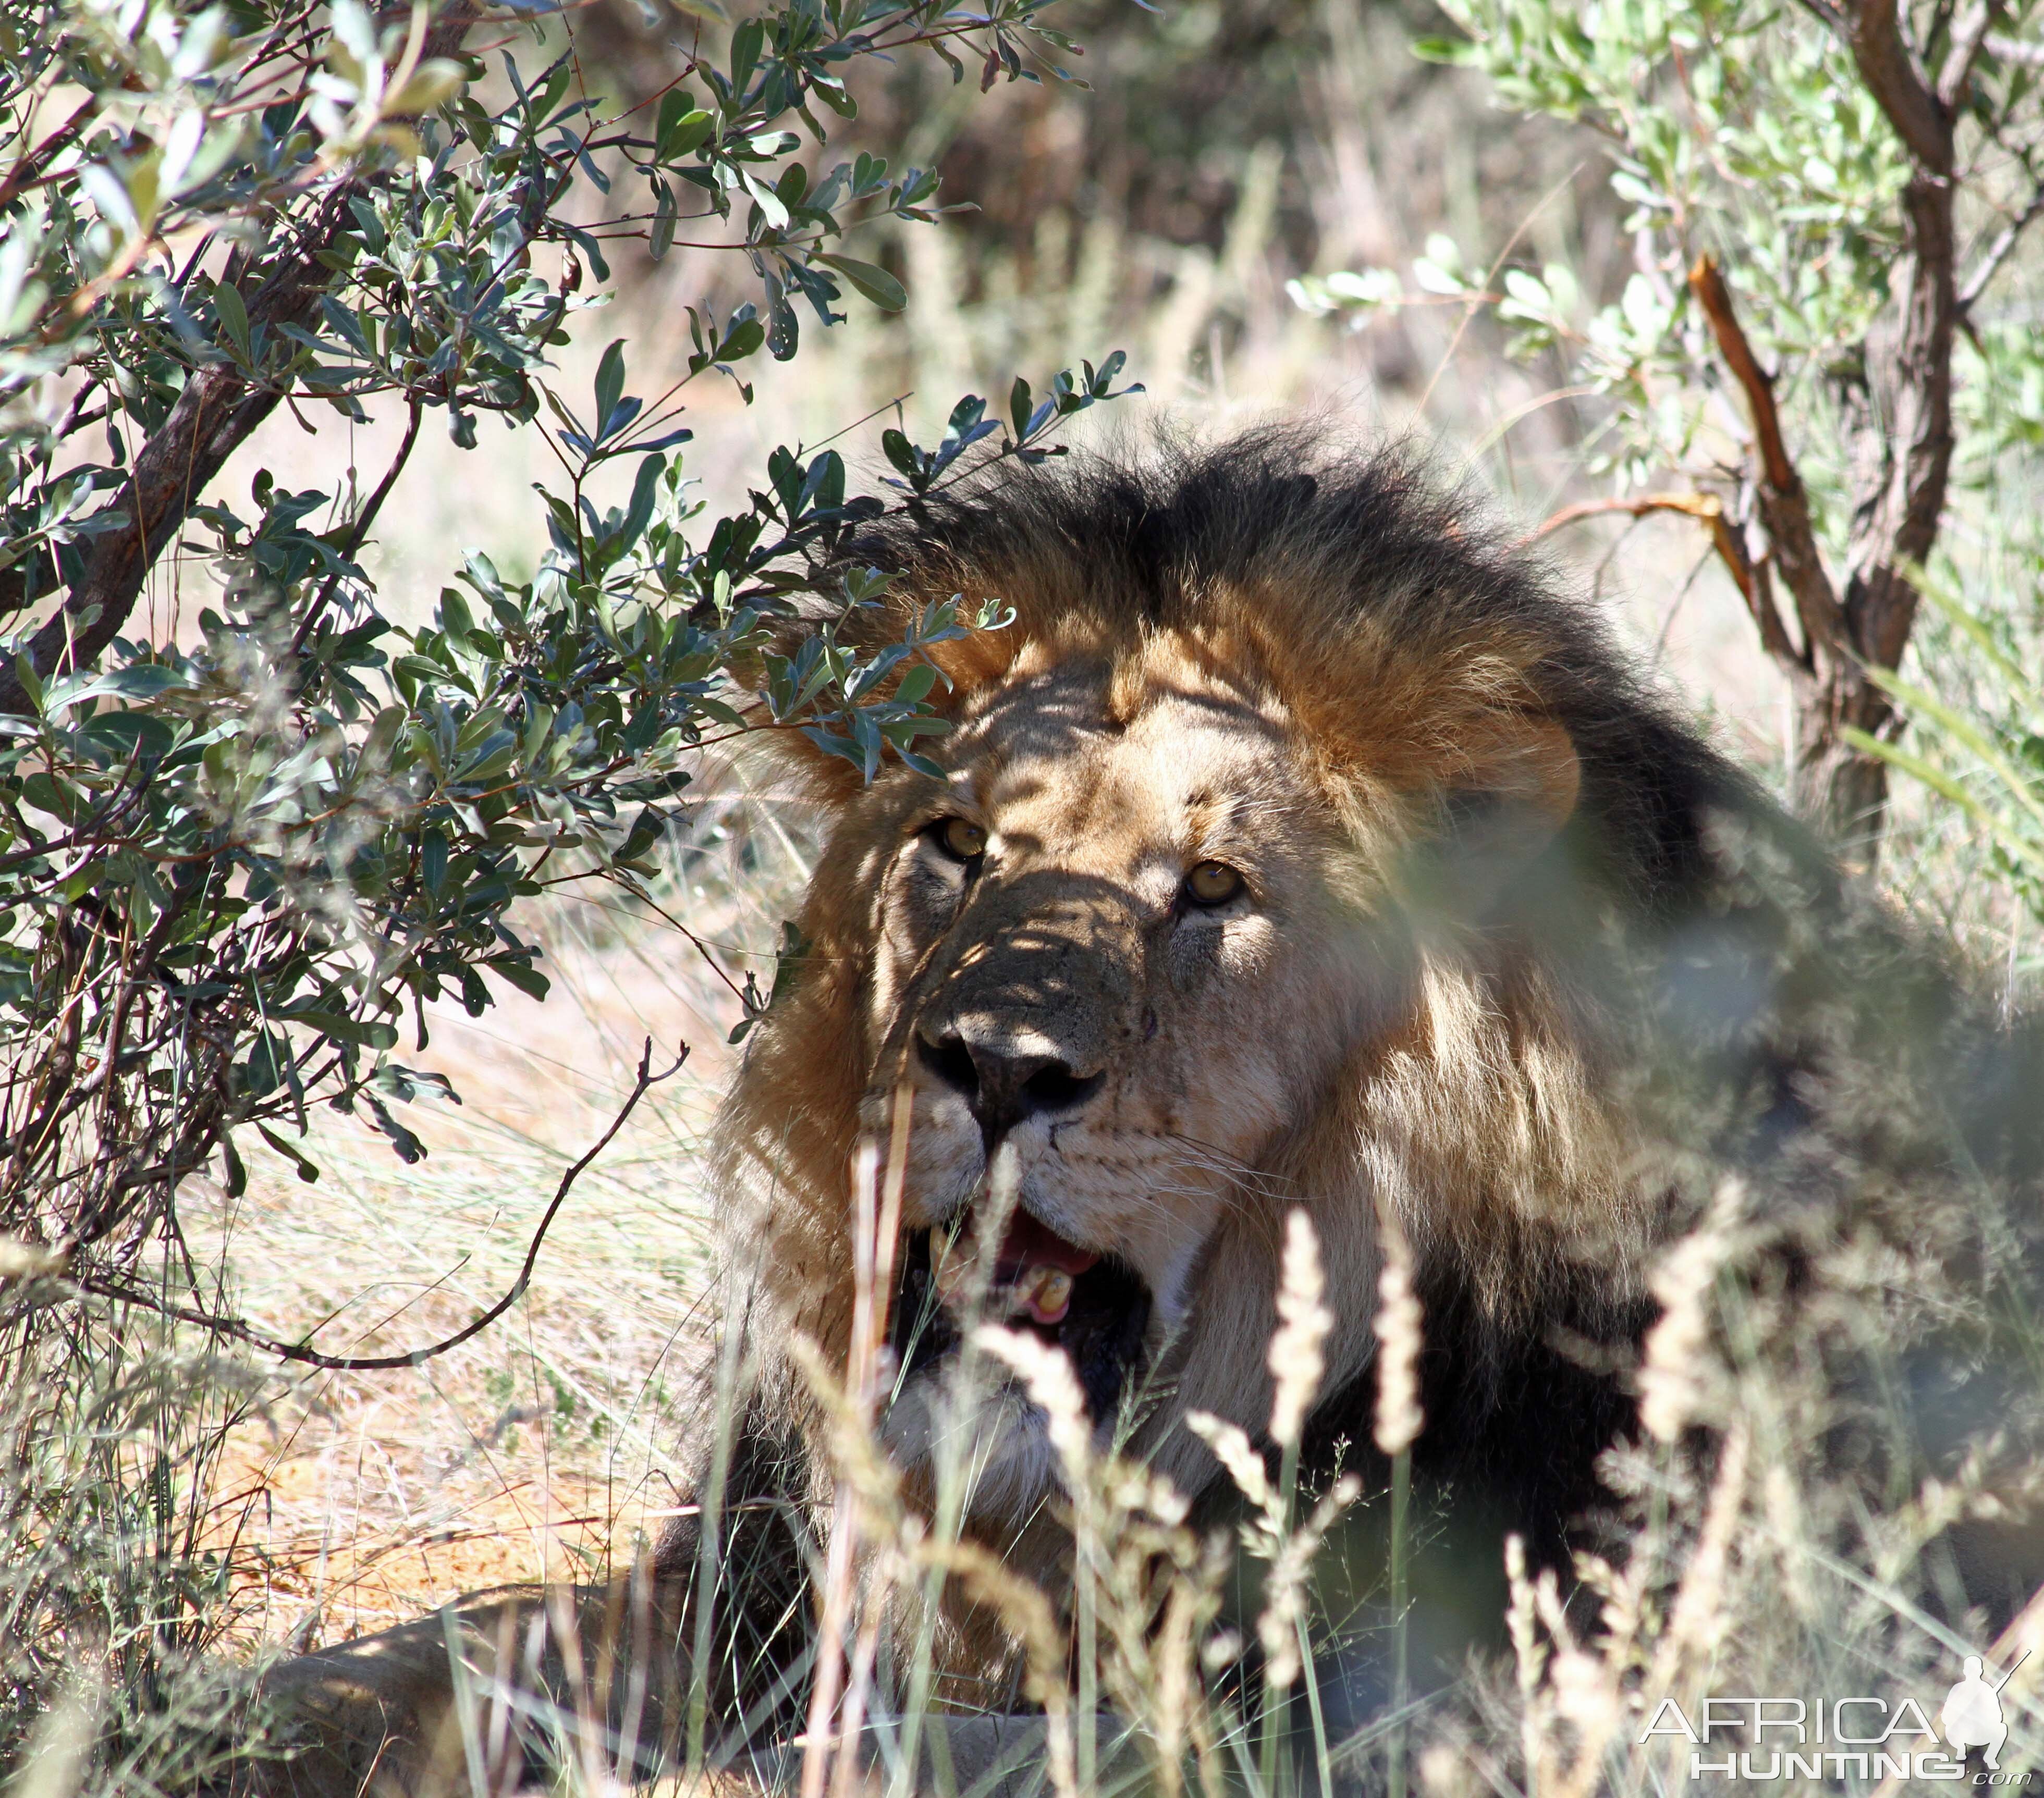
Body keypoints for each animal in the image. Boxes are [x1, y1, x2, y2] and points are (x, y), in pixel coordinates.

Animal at [255, 429, 2044, 1790]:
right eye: (959, 846)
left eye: (1212, 890)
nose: (993, 1070)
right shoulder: (739, 1592)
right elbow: (438, 1659)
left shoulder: (1418, 1705)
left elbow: (931, 1748)